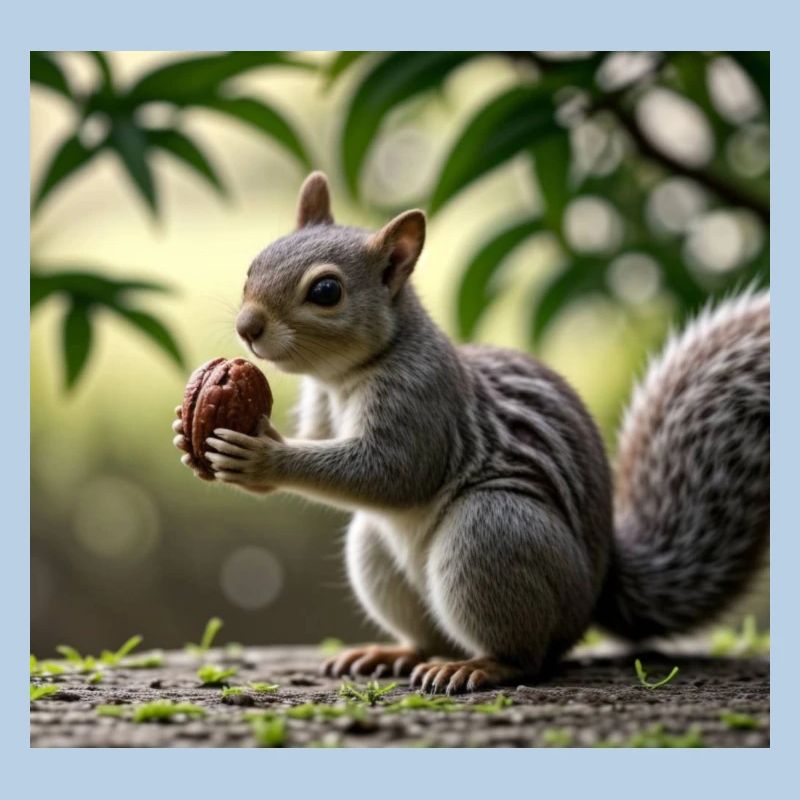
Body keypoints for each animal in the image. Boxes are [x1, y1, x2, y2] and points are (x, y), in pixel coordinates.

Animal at [172, 171, 770, 694]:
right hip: (377, 551)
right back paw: (394, 653)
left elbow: (392, 472)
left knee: (529, 655)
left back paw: (481, 667)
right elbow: (325, 440)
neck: (346, 376)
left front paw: (262, 458)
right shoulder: (323, 407)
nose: (247, 327)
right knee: (429, 635)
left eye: (325, 291)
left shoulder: (423, 400)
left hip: (491, 533)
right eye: (254, 264)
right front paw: (188, 431)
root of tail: (595, 591)